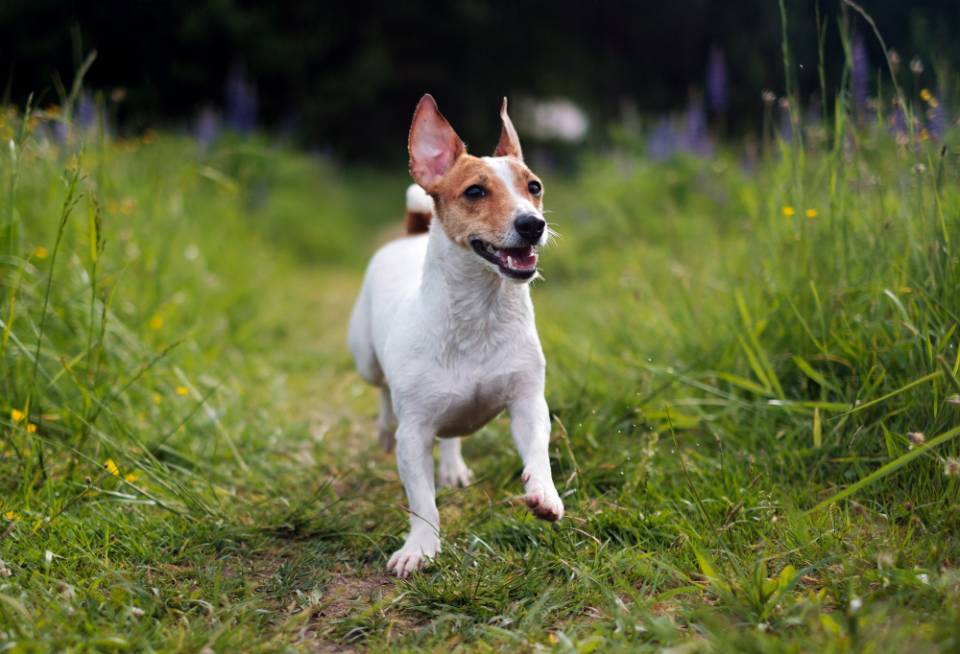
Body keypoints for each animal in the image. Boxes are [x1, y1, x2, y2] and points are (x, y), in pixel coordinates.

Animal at [348, 93, 564, 580]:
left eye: (534, 186)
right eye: (475, 192)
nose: (532, 224)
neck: (480, 313)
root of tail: (410, 233)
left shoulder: (527, 402)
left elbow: (537, 450)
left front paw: (544, 493)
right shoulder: (414, 435)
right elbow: (422, 499)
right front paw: (420, 547)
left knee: (451, 433)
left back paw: (452, 466)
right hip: (366, 360)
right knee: (382, 394)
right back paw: (383, 429)